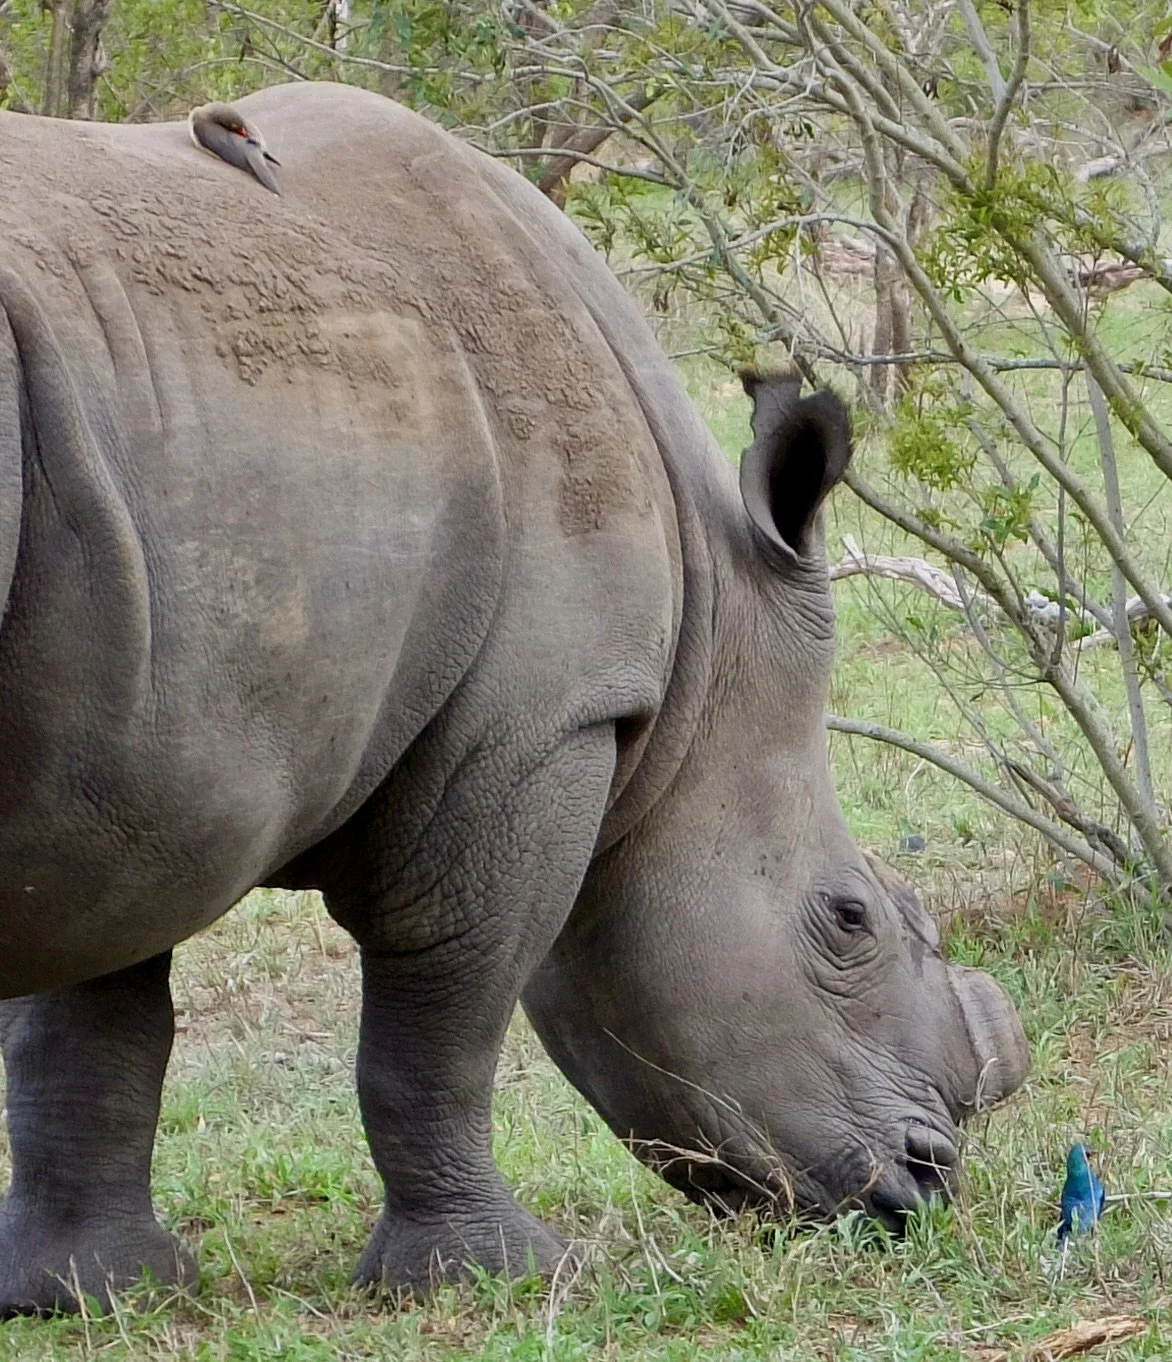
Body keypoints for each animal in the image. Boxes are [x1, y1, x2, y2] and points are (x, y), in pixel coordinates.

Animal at [0, 82, 1029, 1314]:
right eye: (849, 920)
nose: (927, 1183)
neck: (705, 637)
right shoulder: (540, 719)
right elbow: (443, 1011)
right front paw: (499, 1276)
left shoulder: (134, 762)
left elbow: (91, 1021)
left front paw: (92, 1293)